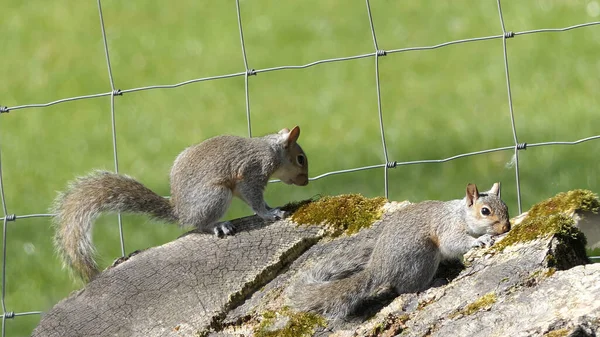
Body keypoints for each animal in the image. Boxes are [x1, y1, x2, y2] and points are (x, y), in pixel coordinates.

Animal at [51, 126, 310, 280]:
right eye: (300, 159)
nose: (306, 182)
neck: (271, 150)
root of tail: (181, 212)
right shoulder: (252, 173)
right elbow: (256, 200)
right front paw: (270, 213)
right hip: (216, 195)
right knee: (200, 224)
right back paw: (218, 225)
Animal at [288, 182, 508, 318]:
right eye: (485, 211)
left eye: (505, 207)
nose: (507, 227)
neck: (461, 214)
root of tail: (378, 268)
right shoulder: (448, 227)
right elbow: (454, 242)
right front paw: (479, 240)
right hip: (422, 257)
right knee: (405, 288)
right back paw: (433, 283)